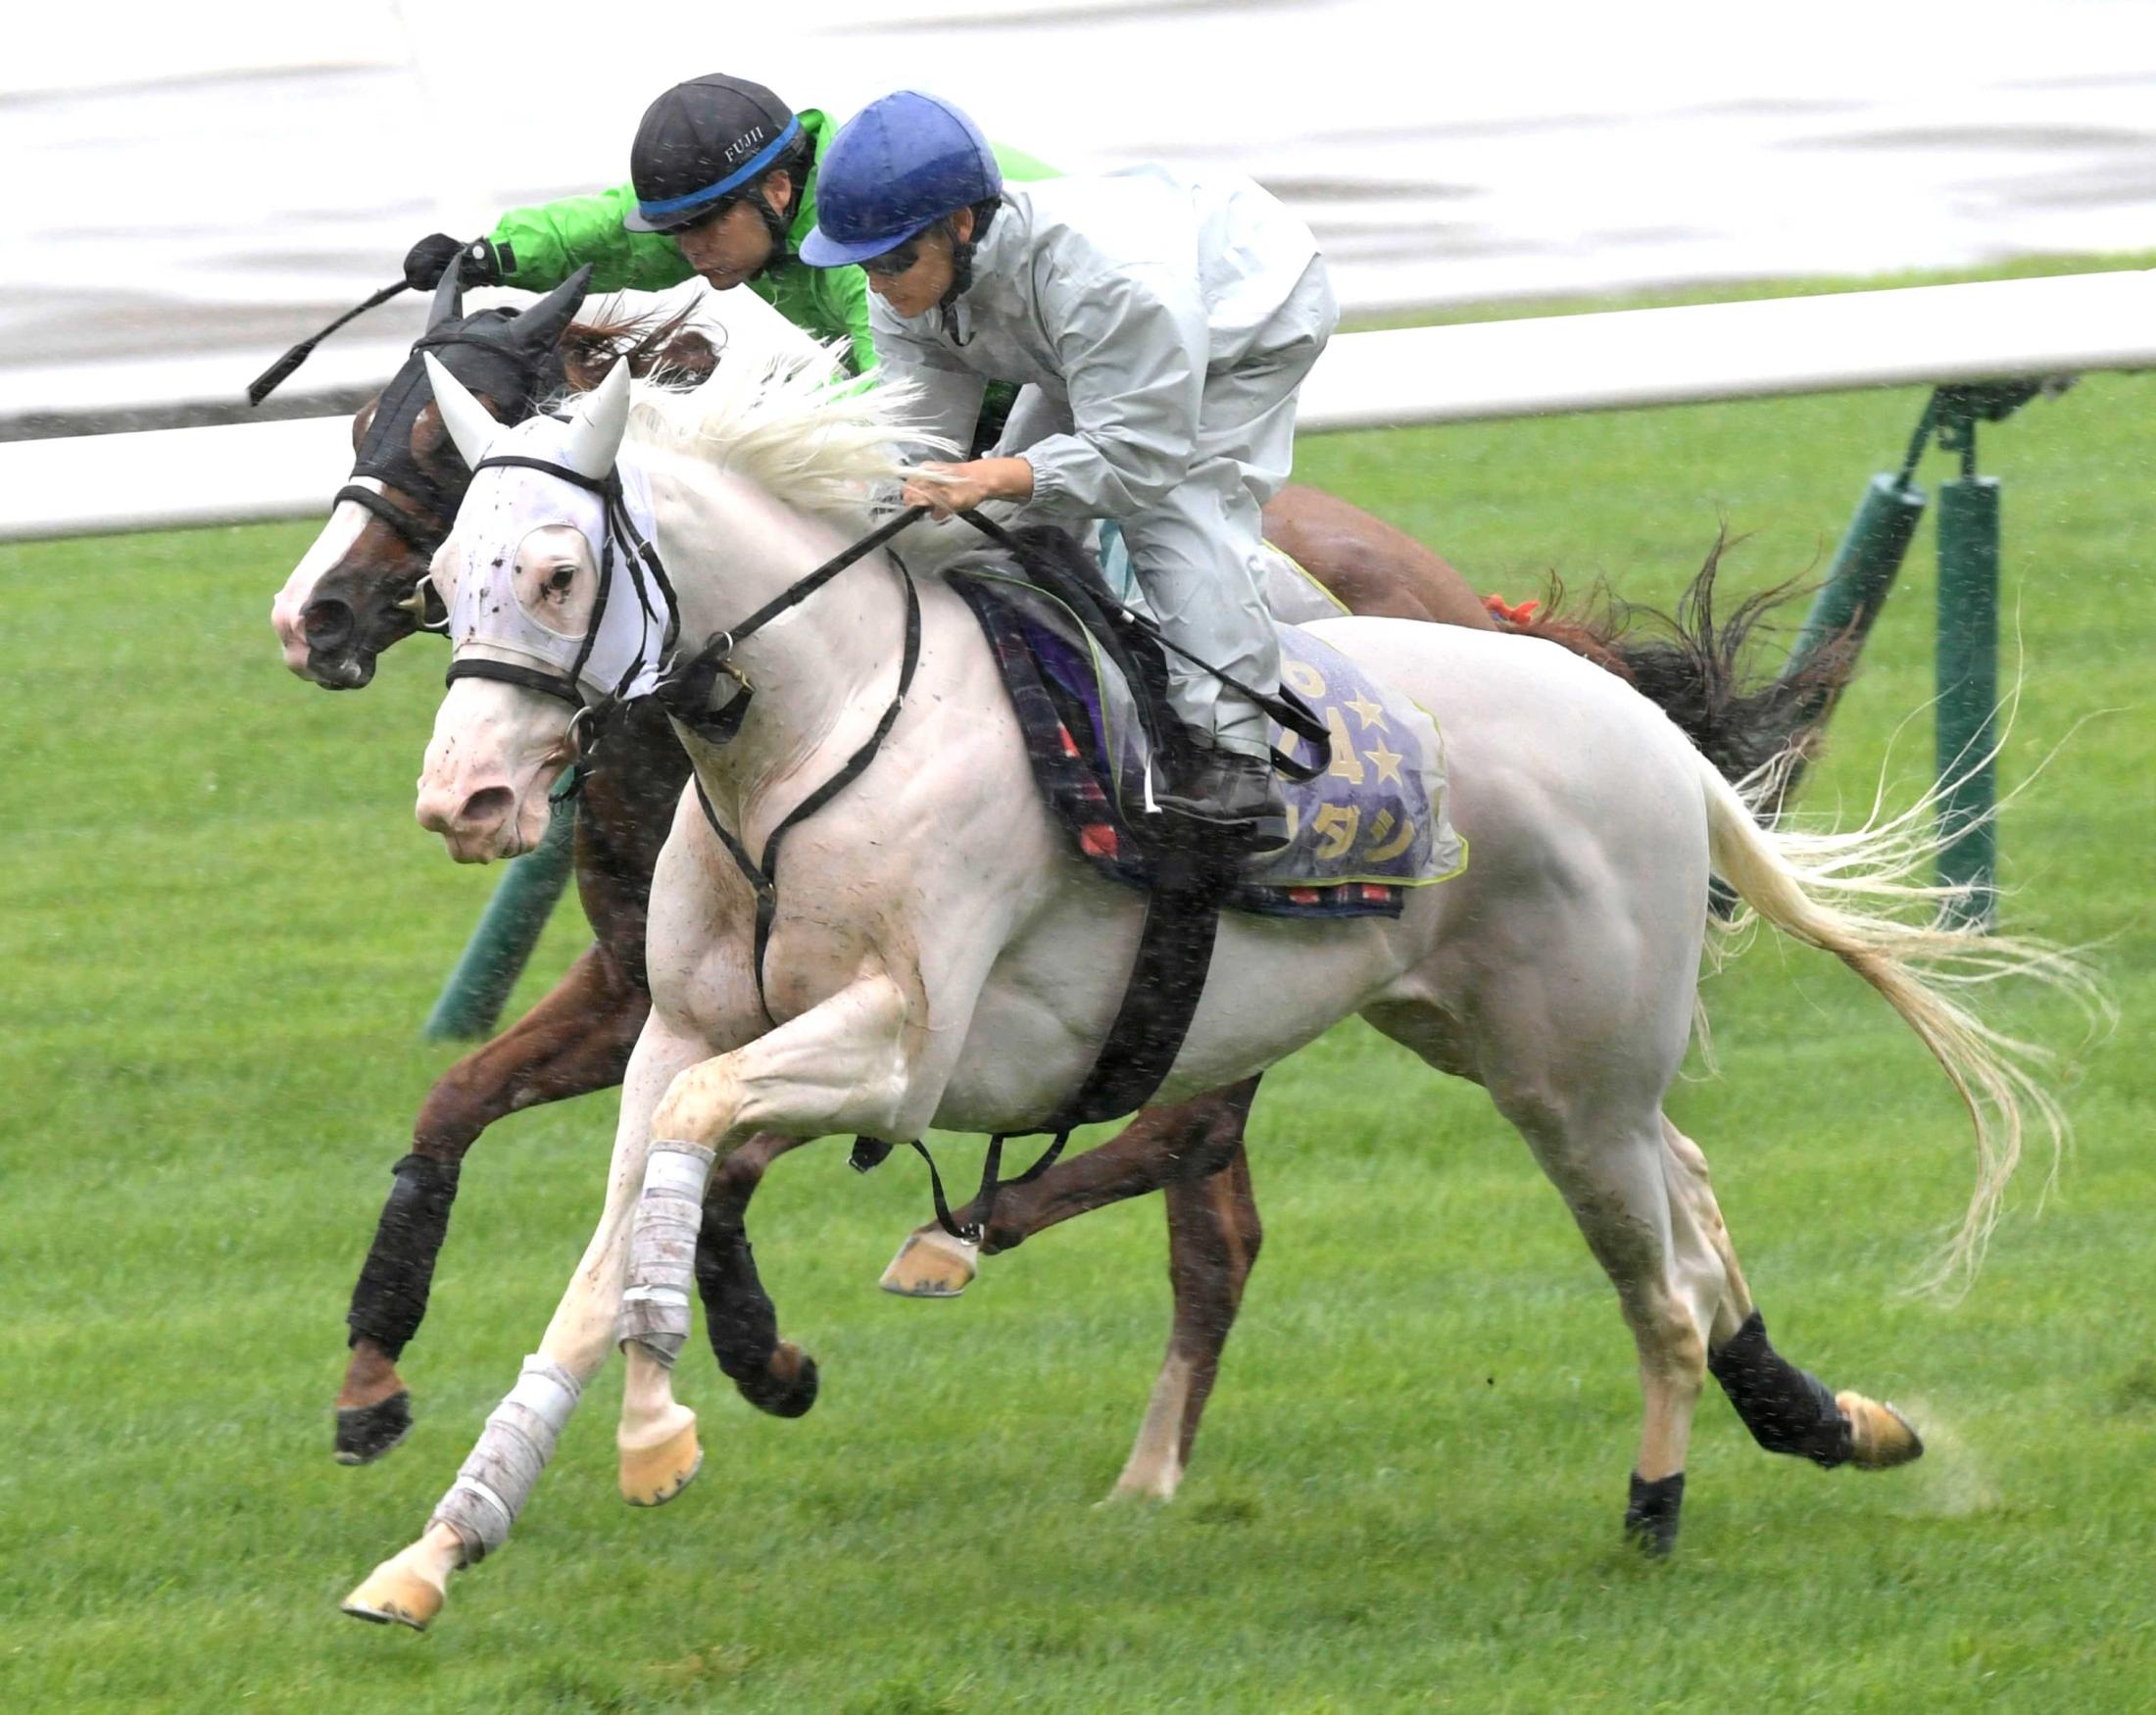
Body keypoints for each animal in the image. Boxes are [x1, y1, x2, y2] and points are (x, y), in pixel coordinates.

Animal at [273, 271, 1854, 1475]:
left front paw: (766, 1351)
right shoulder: (640, 988)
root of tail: (1476, 603)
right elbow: (456, 1106)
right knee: (1227, 1205)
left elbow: (727, 1167)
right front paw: (370, 1379)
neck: (787, 716)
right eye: (361, 426)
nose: (314, 618)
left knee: (1193, 1147)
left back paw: (988, 1251)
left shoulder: (886, 1016)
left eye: (449, 479)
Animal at [345, 356, 2078, 1631]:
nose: (466, 797)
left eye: (556, 571)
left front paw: (661, 1426)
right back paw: (1827, 1414)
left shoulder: (903, 1049)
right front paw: (439, 1542)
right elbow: (614, 1238)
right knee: (1691, 1187)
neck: (811, 736)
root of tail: (1645, 729)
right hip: (1509, 1044)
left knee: (1646, 1272)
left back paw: (1661, 1497)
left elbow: (694, 1166)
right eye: (448, 573)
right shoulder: (684, 1025)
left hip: (1568, 1076)